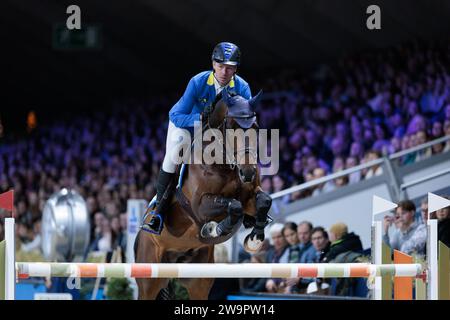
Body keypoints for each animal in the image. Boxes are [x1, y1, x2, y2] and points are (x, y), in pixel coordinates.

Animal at [134, 90, 272, 300]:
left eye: (255, 128)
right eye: (230, 126)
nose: (247, 173)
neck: (225, 164)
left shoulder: (249, 196)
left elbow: (264, 201)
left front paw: (254, 240)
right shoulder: (200, 206)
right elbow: (234, 206)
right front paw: (214, 229)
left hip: (198, 279)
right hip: (149, 278)